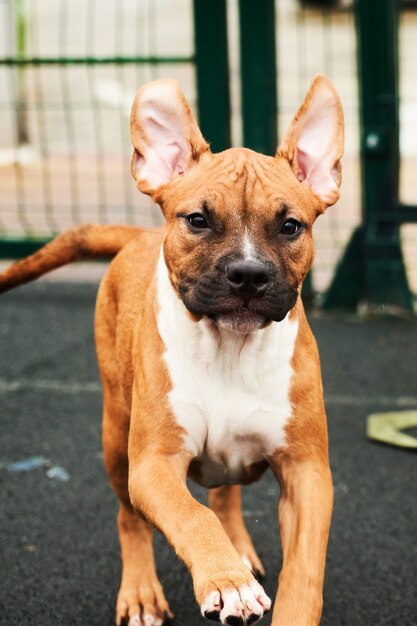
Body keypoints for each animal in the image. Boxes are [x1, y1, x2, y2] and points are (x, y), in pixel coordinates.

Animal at [0, 77, 342, 624]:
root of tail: (137, 236)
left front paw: (253, 582)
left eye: (291, 226)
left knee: (224, 495)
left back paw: (237, 550)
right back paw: (143, 591)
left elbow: (304, 569)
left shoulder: (308, 474)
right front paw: (227, 581)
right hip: (116, 439)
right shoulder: (153, 466)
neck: (230, 350)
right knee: (130, 518)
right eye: (198, 220)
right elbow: (191, 515)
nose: (249, 275)